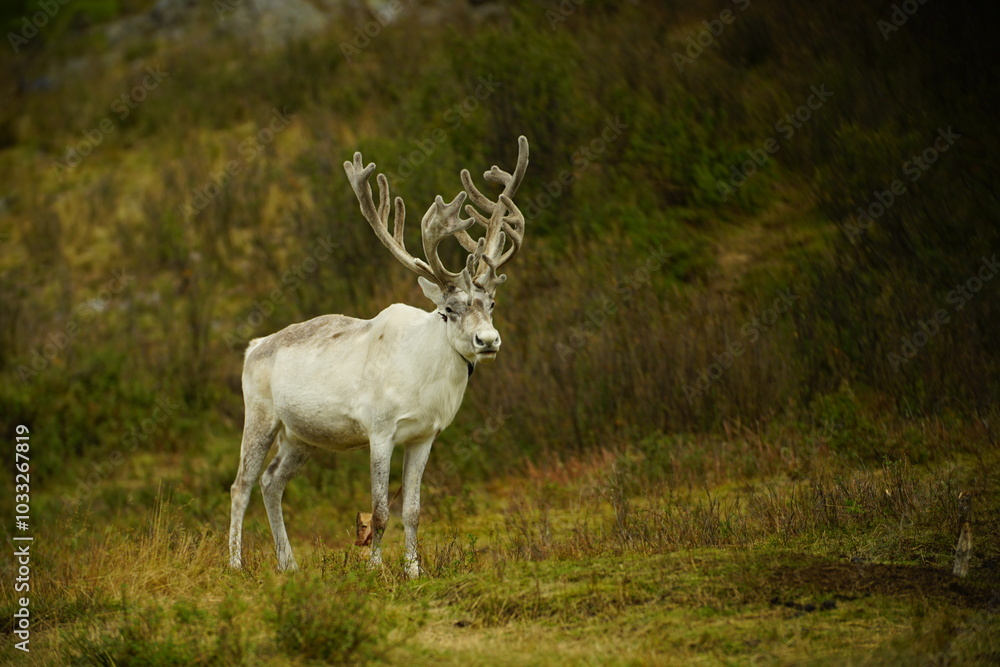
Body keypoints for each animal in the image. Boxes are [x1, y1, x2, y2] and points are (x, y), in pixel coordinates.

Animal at [228, 136, 529, 578]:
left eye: (491, 303)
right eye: (449, 309)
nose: (488, 340)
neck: (424, 378)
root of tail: (253, 347)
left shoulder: (424, 435)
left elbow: (413, 511)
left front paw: (413, 570)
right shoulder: (380, 430)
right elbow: (380, 510)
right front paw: (375, 569)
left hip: (301, 435)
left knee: (271, 482)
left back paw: (289, 564)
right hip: (260, 415)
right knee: (241, 485)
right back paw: (234, 563)